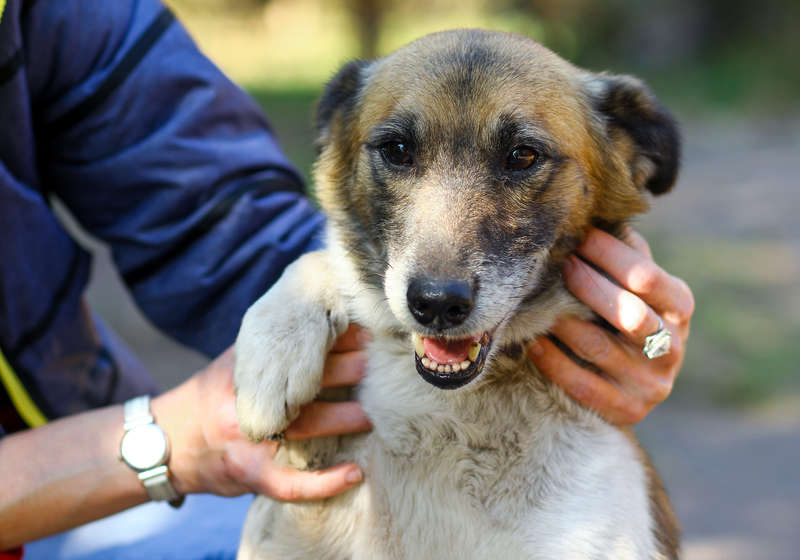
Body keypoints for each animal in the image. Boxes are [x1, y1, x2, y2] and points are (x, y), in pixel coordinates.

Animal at [233, 30, 680, 560]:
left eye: (523, 155)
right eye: (397, 149)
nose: (436, 304)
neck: (452, 416)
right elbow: (322, 259)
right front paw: (271, 359)